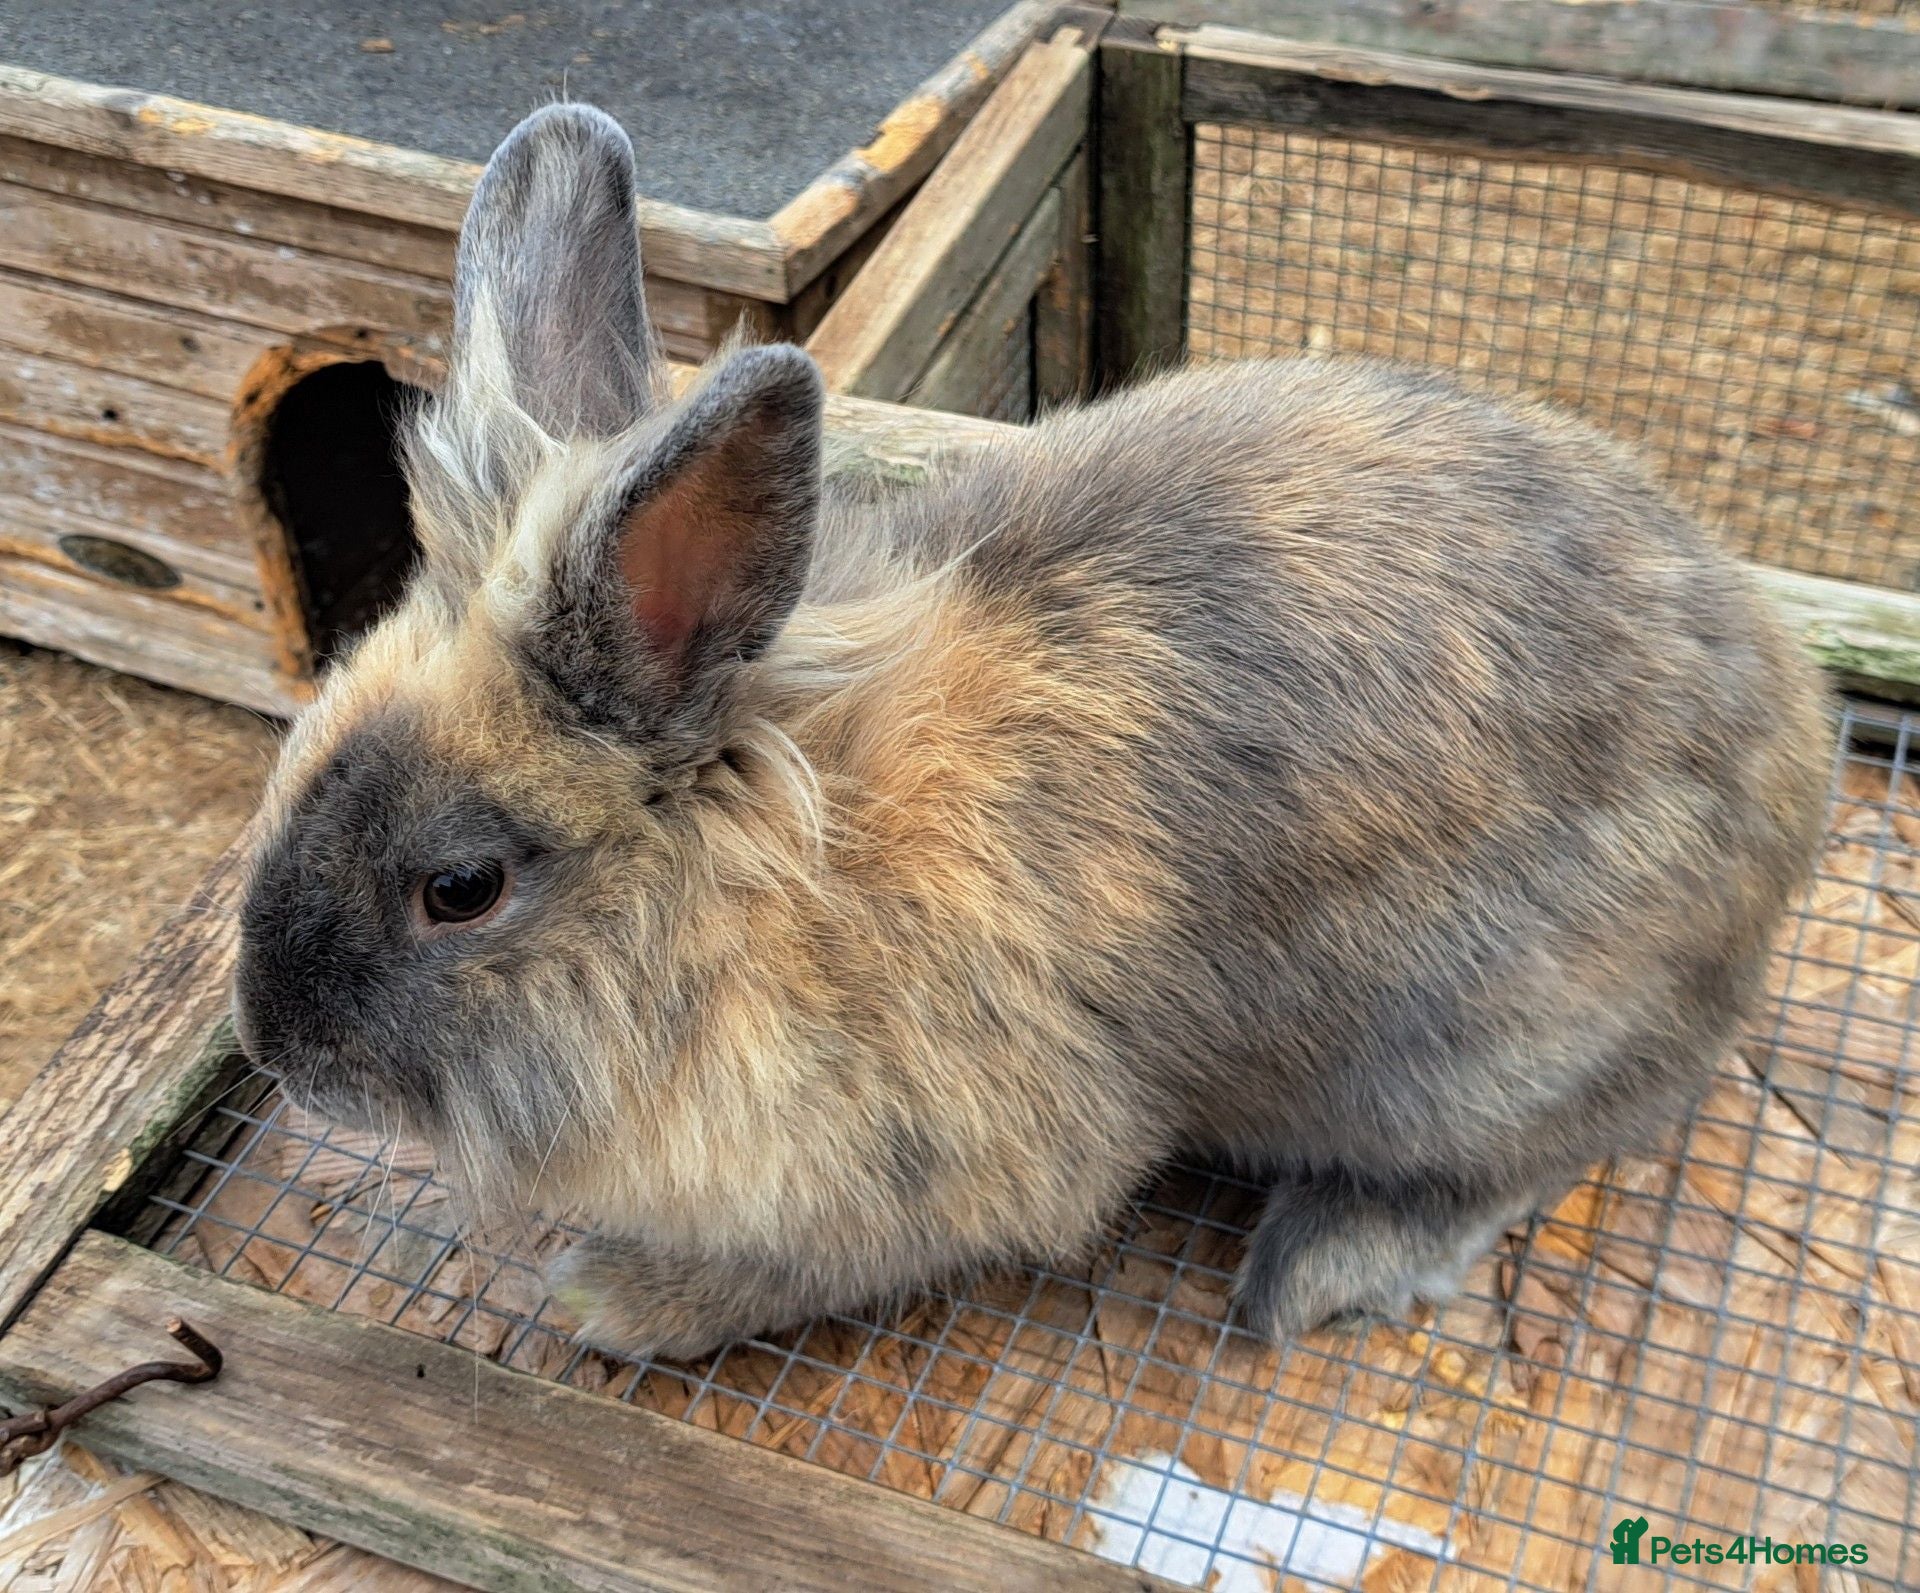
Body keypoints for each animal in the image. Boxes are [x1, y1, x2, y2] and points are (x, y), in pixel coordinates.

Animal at [232, 103, 1831, 1362]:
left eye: (460, 890)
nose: (275, 1048)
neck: (760, 909)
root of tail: (1794, 750)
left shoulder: (940, 1176)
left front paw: (612, 1299)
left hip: (1478, 1055)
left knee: (1549, 1151)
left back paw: (1320, 1265)